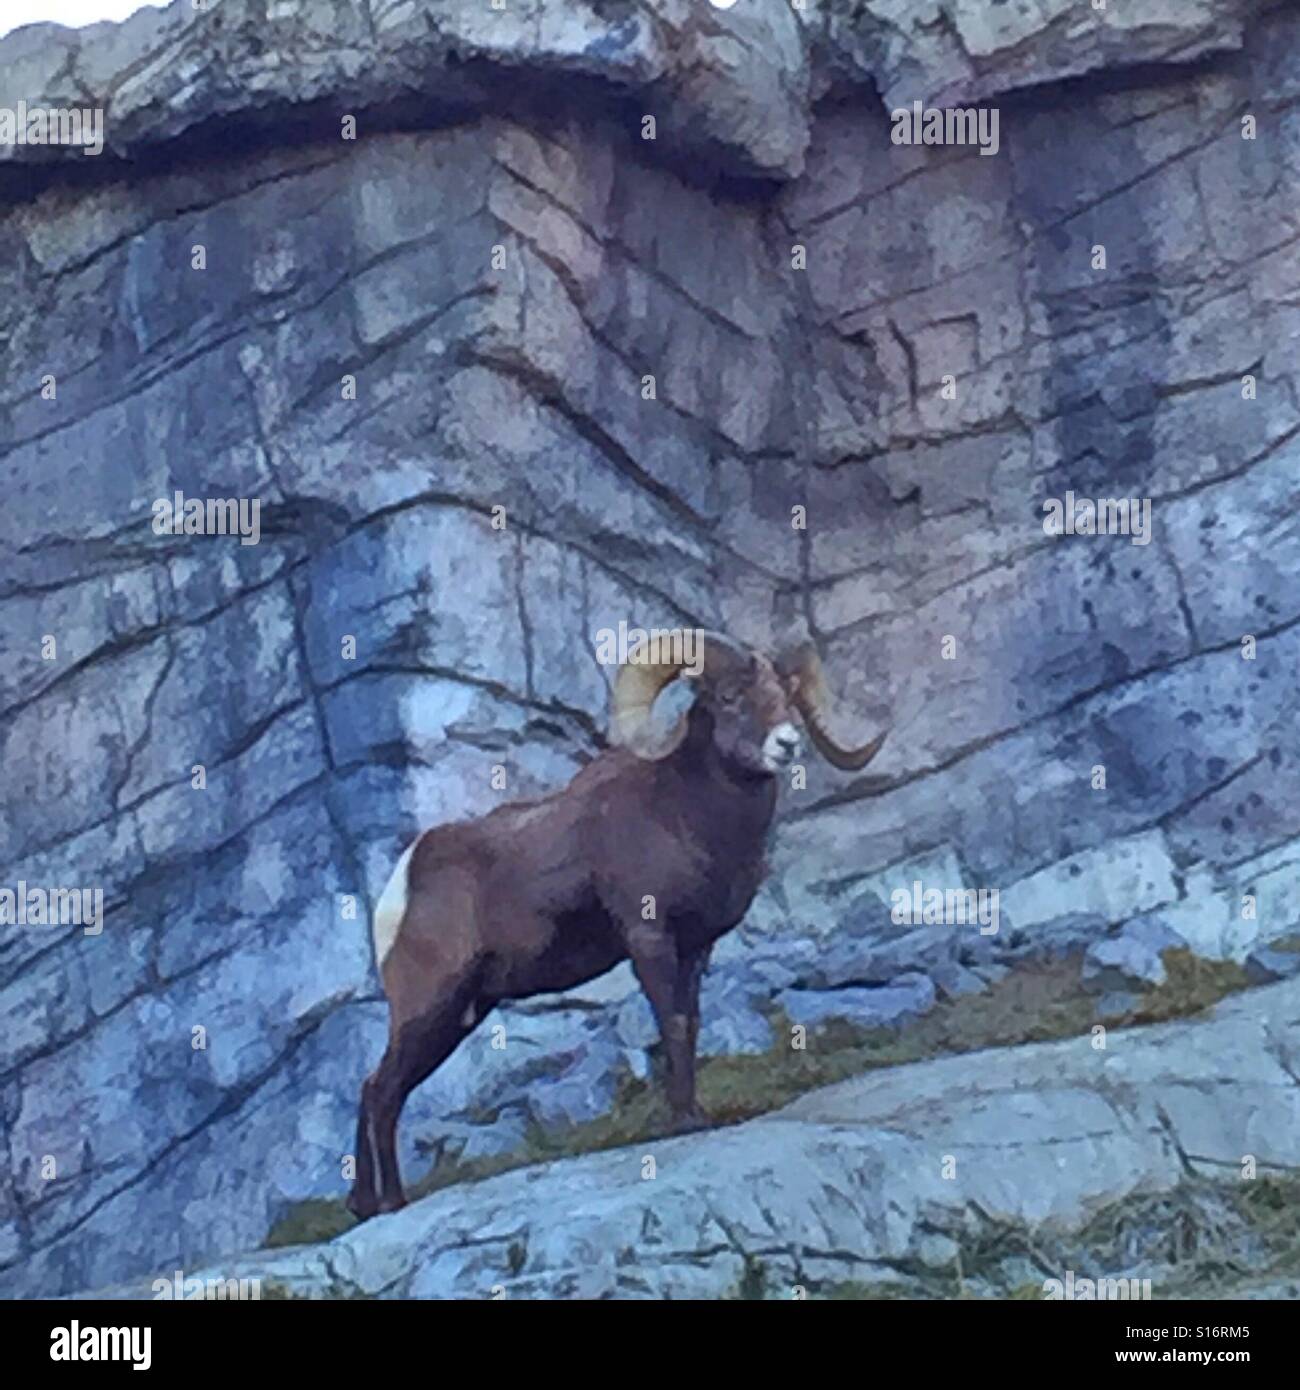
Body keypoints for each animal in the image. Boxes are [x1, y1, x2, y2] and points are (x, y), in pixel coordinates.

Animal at [346, 630, 887, 1220]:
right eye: (728, 698)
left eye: (787, 696)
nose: (787, 744)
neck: (685, 813)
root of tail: (401, 886)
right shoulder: (648, 940)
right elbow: (672, 1022)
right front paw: (684, 1123)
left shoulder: (695, 950)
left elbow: (690, 1024)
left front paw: (692, 1114)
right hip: (431, 1006)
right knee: (381, 1090)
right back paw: (391, 1203)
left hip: (459, 1015)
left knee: (378, 1088)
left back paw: (365, 1204)